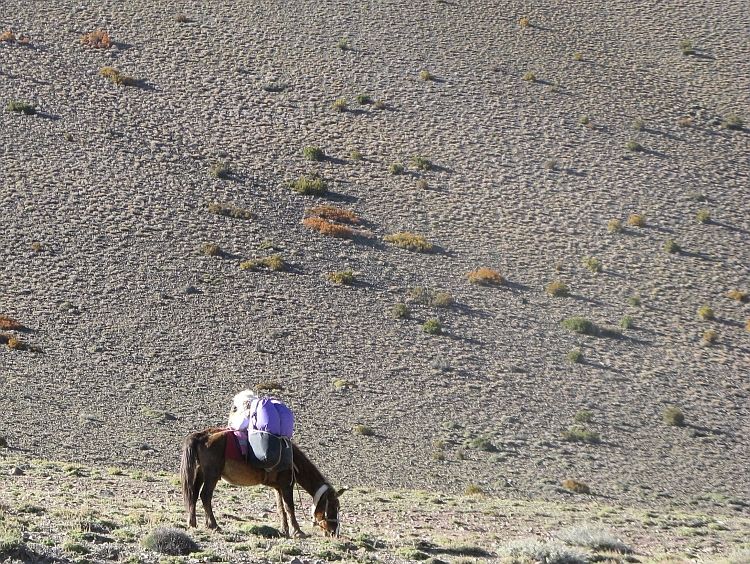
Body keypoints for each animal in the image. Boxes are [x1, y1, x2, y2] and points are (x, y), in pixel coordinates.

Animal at [180, 427, 345, 537]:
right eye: (333, 506)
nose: (334, 533)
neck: (293, 460)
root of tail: (201, 436)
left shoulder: (278, 488)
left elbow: (281, 508)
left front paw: (285, 530)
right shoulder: (287, 486)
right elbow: (289, 508)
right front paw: (297, 531)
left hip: (201, 473)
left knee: (193, 494)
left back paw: (192, 523)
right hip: (212, 475)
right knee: (205, 495)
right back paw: (214, 525)